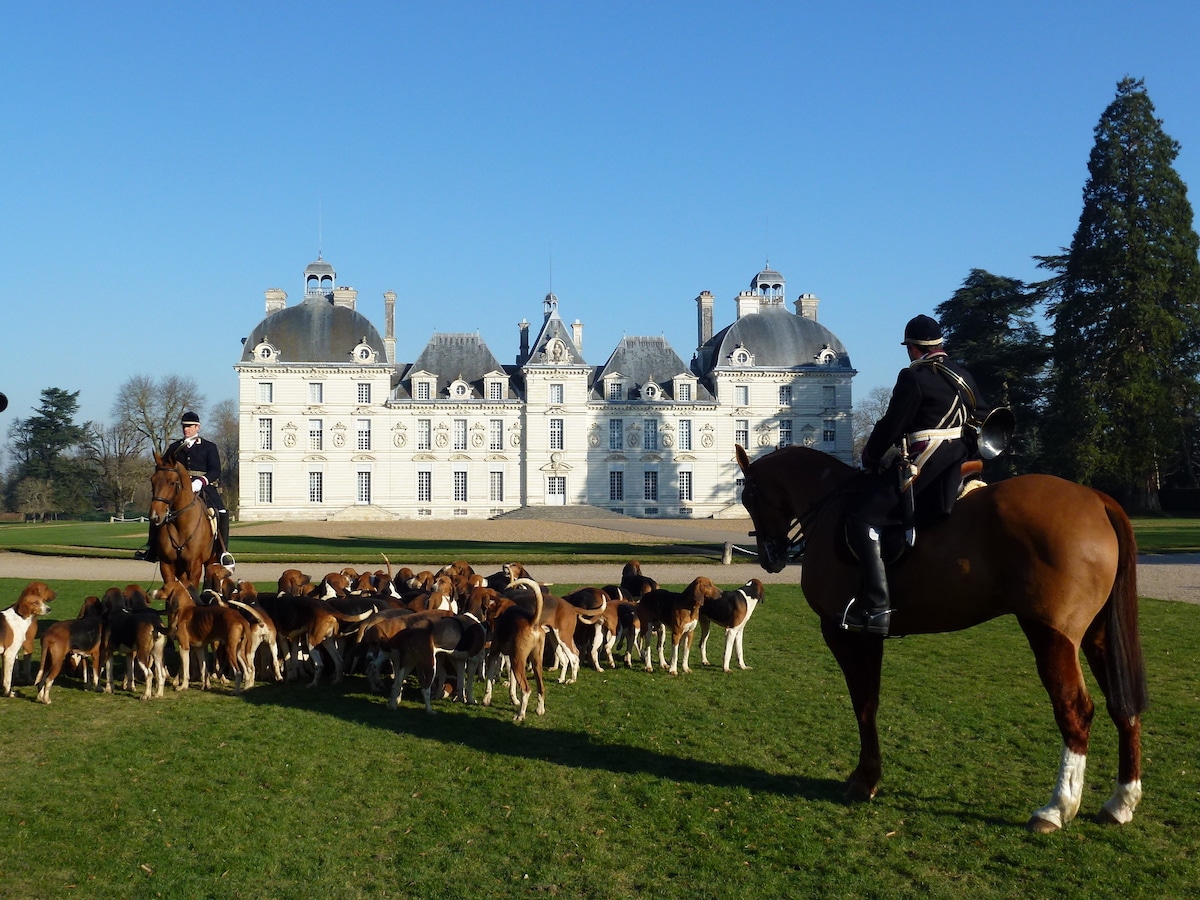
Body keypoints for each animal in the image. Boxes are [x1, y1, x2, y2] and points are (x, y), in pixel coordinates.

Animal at [149, 451, 217, 592]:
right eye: (152, 480)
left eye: (172, 482)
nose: (154, 516)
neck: (181, 525)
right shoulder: (166, 564)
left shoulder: (195, 565)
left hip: (211, 560)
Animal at [734, 448, 1147, 835]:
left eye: (749, 493)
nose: (770, 556)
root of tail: (1095, 498)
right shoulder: (869, 636)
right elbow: (870, 701)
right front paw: (866, 776)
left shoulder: (843, 632)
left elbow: (863, 704)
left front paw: (865, 781)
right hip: (1096, 635)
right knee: (1121, 705)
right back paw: (1120, 802)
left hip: (1050, 635)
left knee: (1074, 709)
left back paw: (1057, 808)